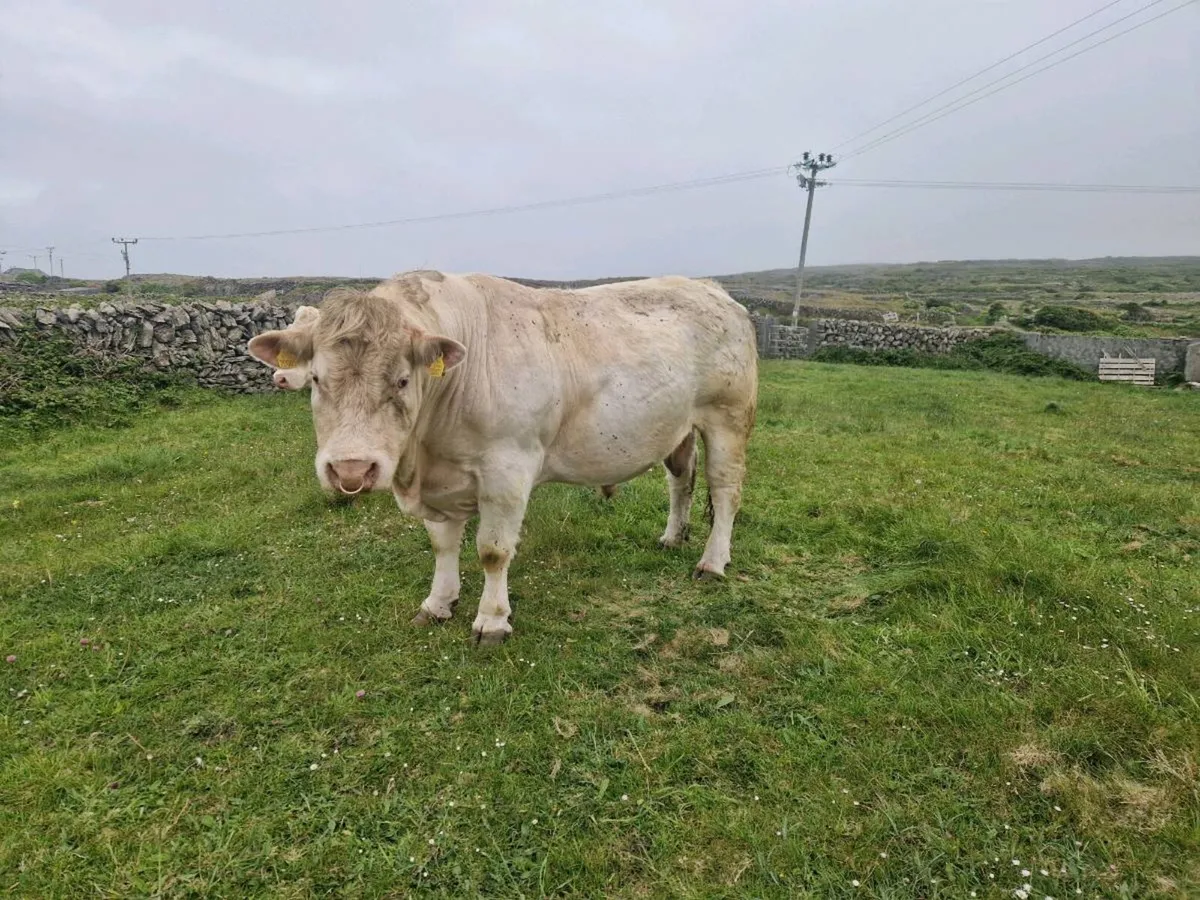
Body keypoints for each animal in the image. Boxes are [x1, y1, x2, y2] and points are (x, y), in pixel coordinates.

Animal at [247, 271, 757, 646]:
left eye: (402, 380)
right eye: (316, 379)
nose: (351, 469)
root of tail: (710, 288)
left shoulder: (507, 471)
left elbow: (492, 551)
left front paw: (491, 621)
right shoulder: (441, 483)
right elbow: (443, 545)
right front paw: (438, 603)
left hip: (728, 418)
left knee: (725, 492)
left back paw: (712, 562)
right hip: (677, 427)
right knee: (681, 480)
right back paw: (672, 536)